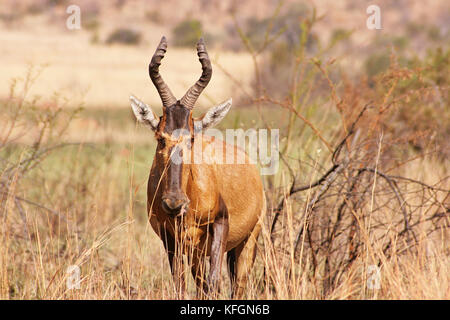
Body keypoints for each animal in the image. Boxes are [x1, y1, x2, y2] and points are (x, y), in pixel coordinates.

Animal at [128, 37, 266, 300]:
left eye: (191, 138)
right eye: (160, 138)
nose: (174, 203)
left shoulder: (221, 224)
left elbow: (214, 284)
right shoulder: (170, 239)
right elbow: (180, 286)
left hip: (248, 241)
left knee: (237, 285)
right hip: (196, 253)